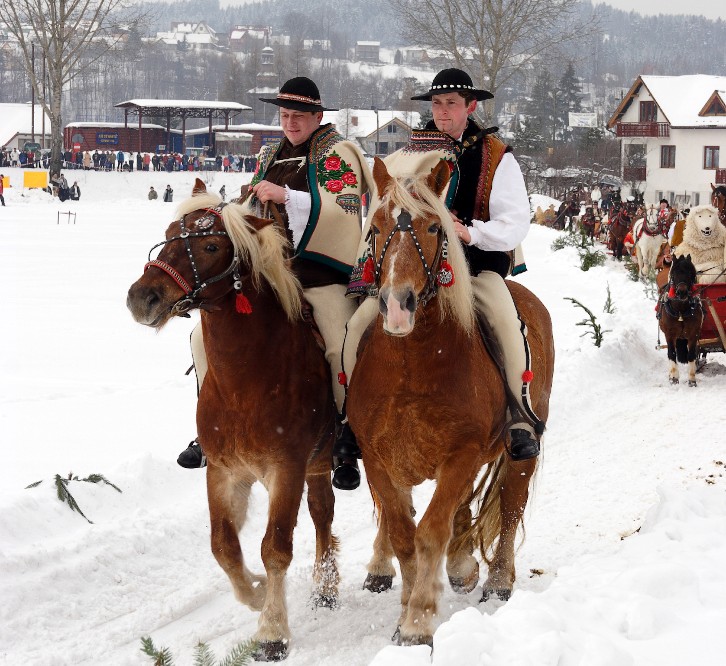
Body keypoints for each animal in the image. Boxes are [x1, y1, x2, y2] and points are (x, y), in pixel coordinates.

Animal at [126, 178, 340, 660]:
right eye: (170, 232)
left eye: (210, 245)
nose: (142, 297)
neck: (247, 381)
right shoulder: (224, 471)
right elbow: (223, 546)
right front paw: (256, 594)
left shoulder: (285, 469)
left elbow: (275, 548)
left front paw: (272, 631)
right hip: (318, 465)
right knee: (323, 513)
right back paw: (326, 588)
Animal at [348, 160, 556, 644]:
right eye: (377, 226)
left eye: (432, 227)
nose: (398, 305)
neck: (412, 364)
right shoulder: (379, 458)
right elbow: (403, 532)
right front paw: (408, 607)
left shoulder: (461, 453)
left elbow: (430, 531)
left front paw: (417, 621)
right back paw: (461, 566)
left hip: (518, 451)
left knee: (511, 505)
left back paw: (497, 581)